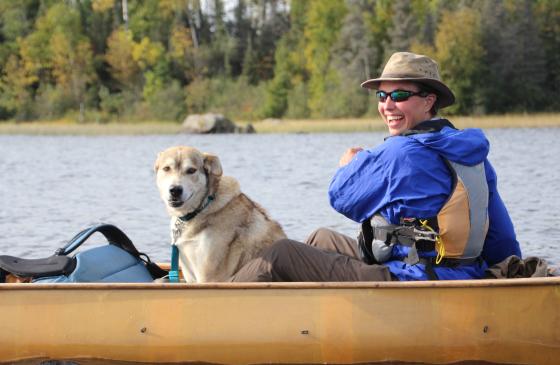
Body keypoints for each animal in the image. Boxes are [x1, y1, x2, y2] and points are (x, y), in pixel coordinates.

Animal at [154, 146, 286, 282]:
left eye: (191, 170)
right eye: (167, 168)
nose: (175, 190)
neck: (203, 206)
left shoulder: (210, 276)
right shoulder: (189, 273)